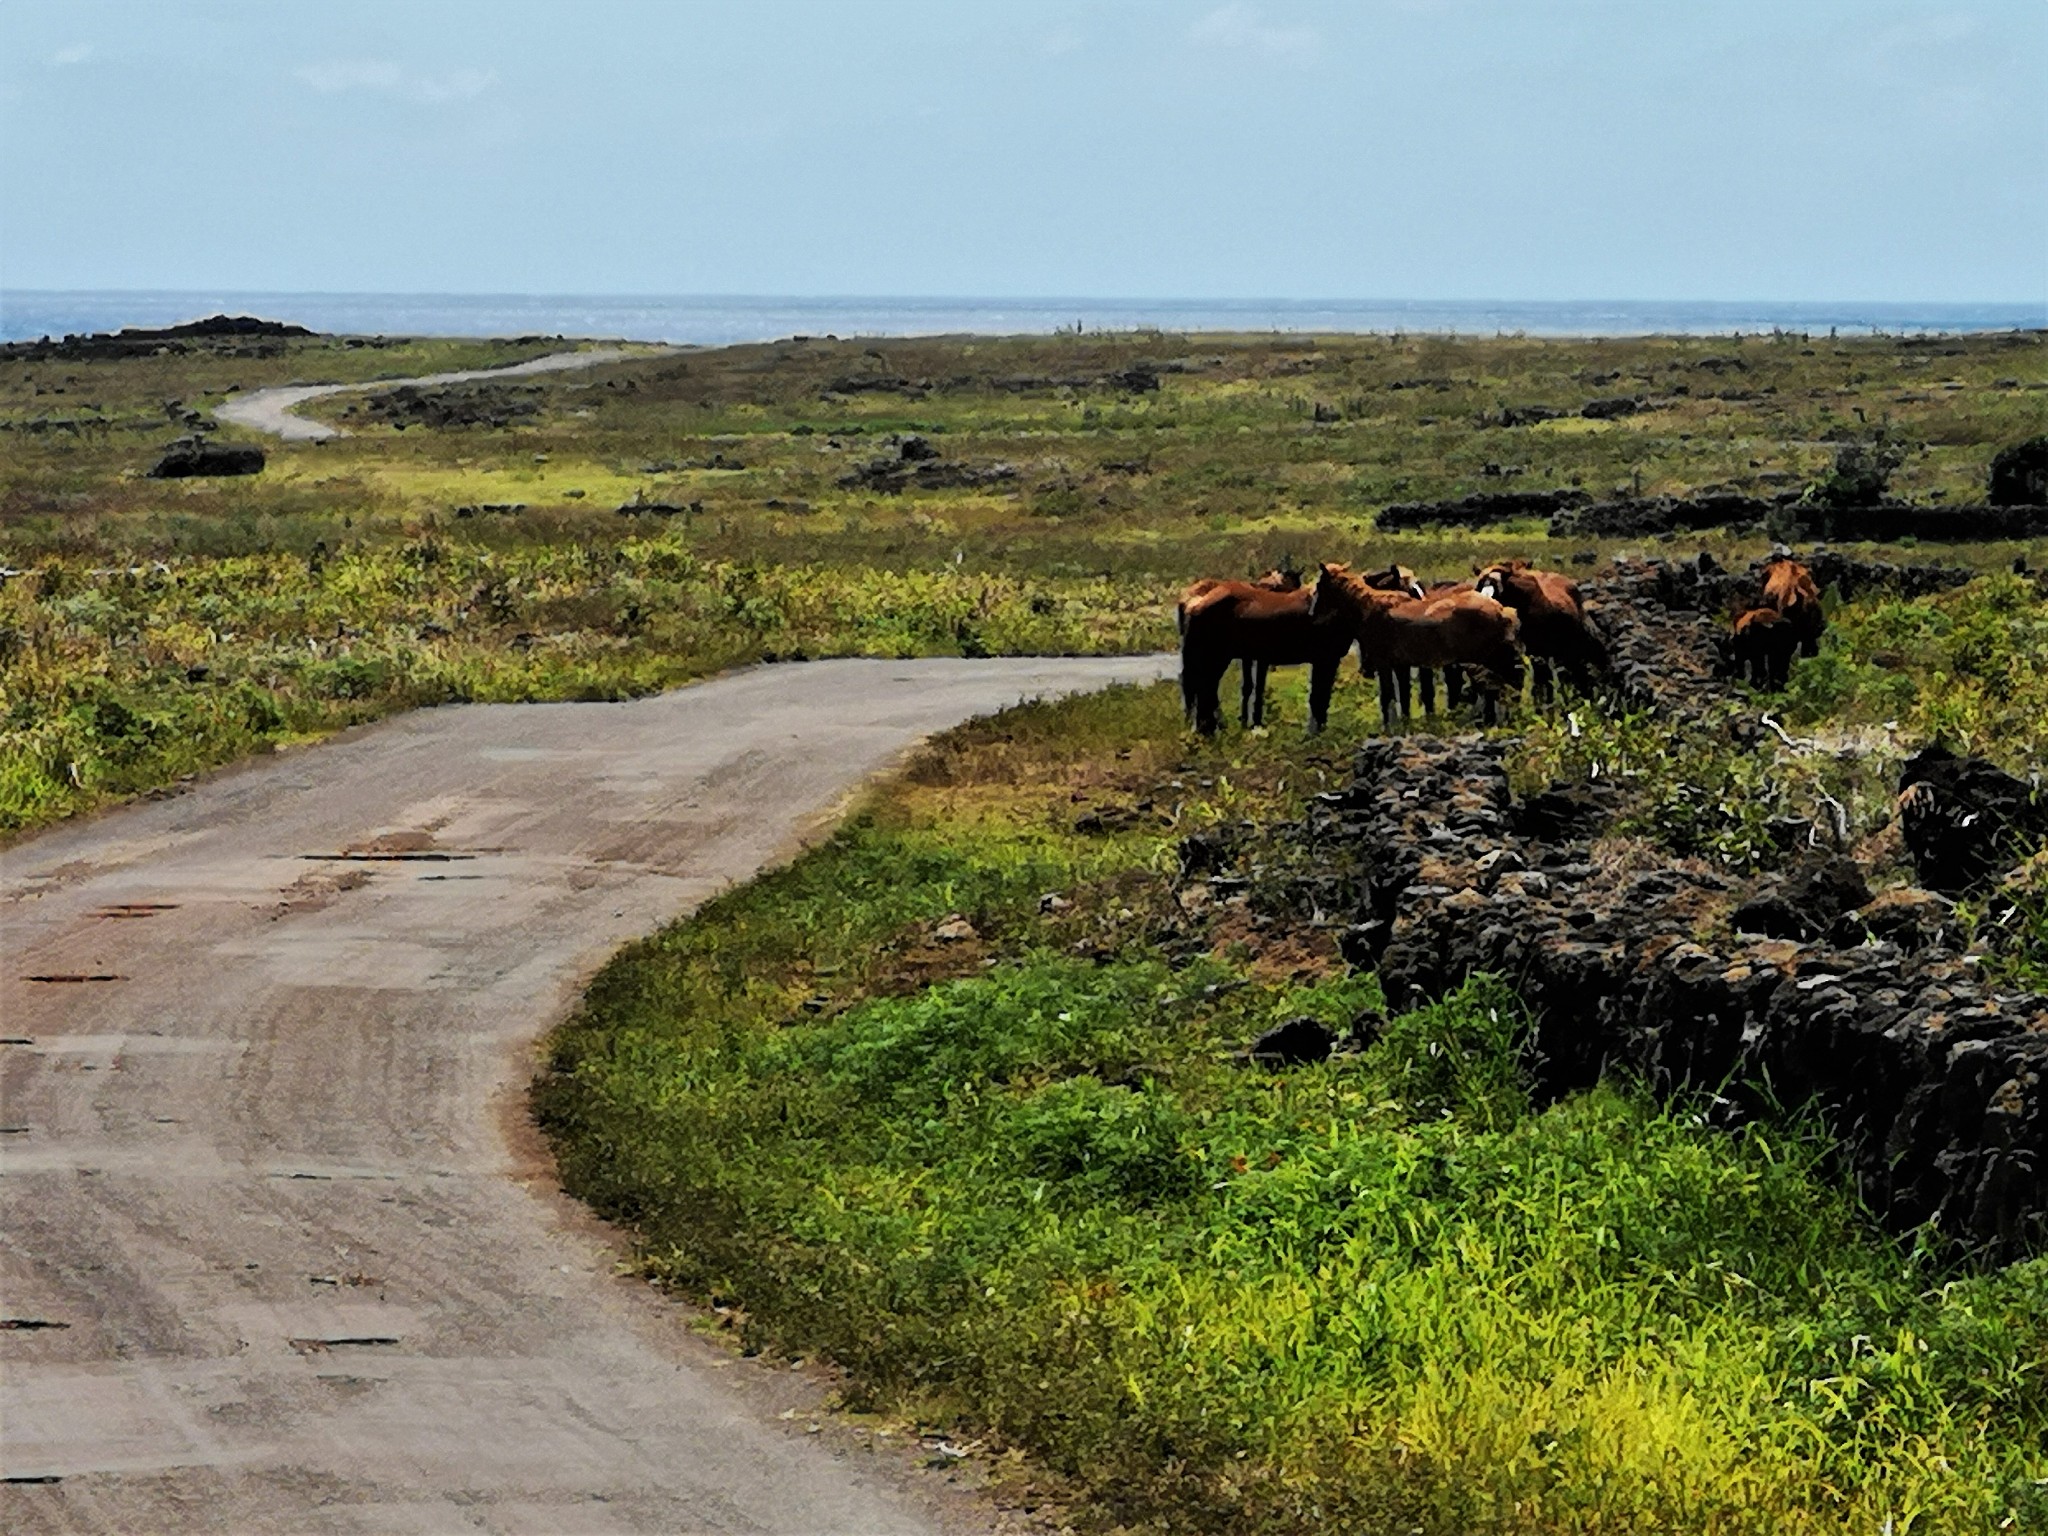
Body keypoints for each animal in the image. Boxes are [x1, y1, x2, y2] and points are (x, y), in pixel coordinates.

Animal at [1179, 581, 1351, 741]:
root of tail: (1194, 602)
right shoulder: (1327, 659)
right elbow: (1320, 697)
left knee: (1204, 690)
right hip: (1215, 657)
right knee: (1204, 689)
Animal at [1310, 569, 1523, 729]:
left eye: (1320, 587)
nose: (1313, 615)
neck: (1370, 607)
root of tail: (1503, 610)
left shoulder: (1383, 663)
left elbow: (1387, 696)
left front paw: (1389, 727)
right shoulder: (1399, 665)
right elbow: (1401, 696)